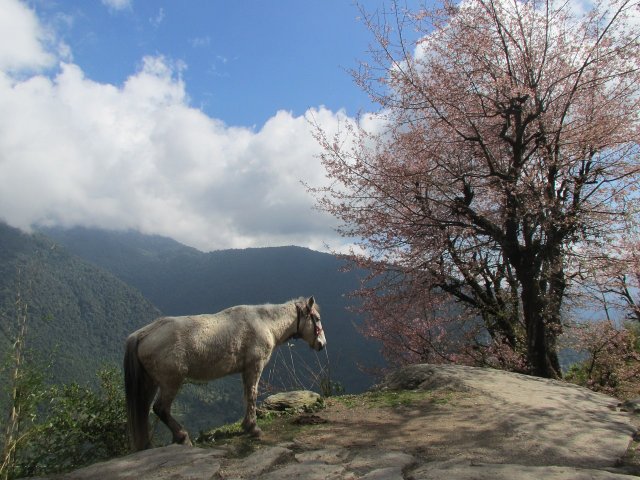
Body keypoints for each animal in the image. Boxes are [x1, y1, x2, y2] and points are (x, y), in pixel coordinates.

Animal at [123, 296, 328, 450]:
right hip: (171, 382)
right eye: (317, 319)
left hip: (150, 384)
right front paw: (253, 428)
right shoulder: (255, 367)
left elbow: (246, 395)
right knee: (160, 408)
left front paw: (247, 425)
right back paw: (182, 437)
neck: (264, 322)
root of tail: (143, 334)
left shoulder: (246, 371)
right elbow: (252, 395)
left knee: (145, 411)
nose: (322, 344)